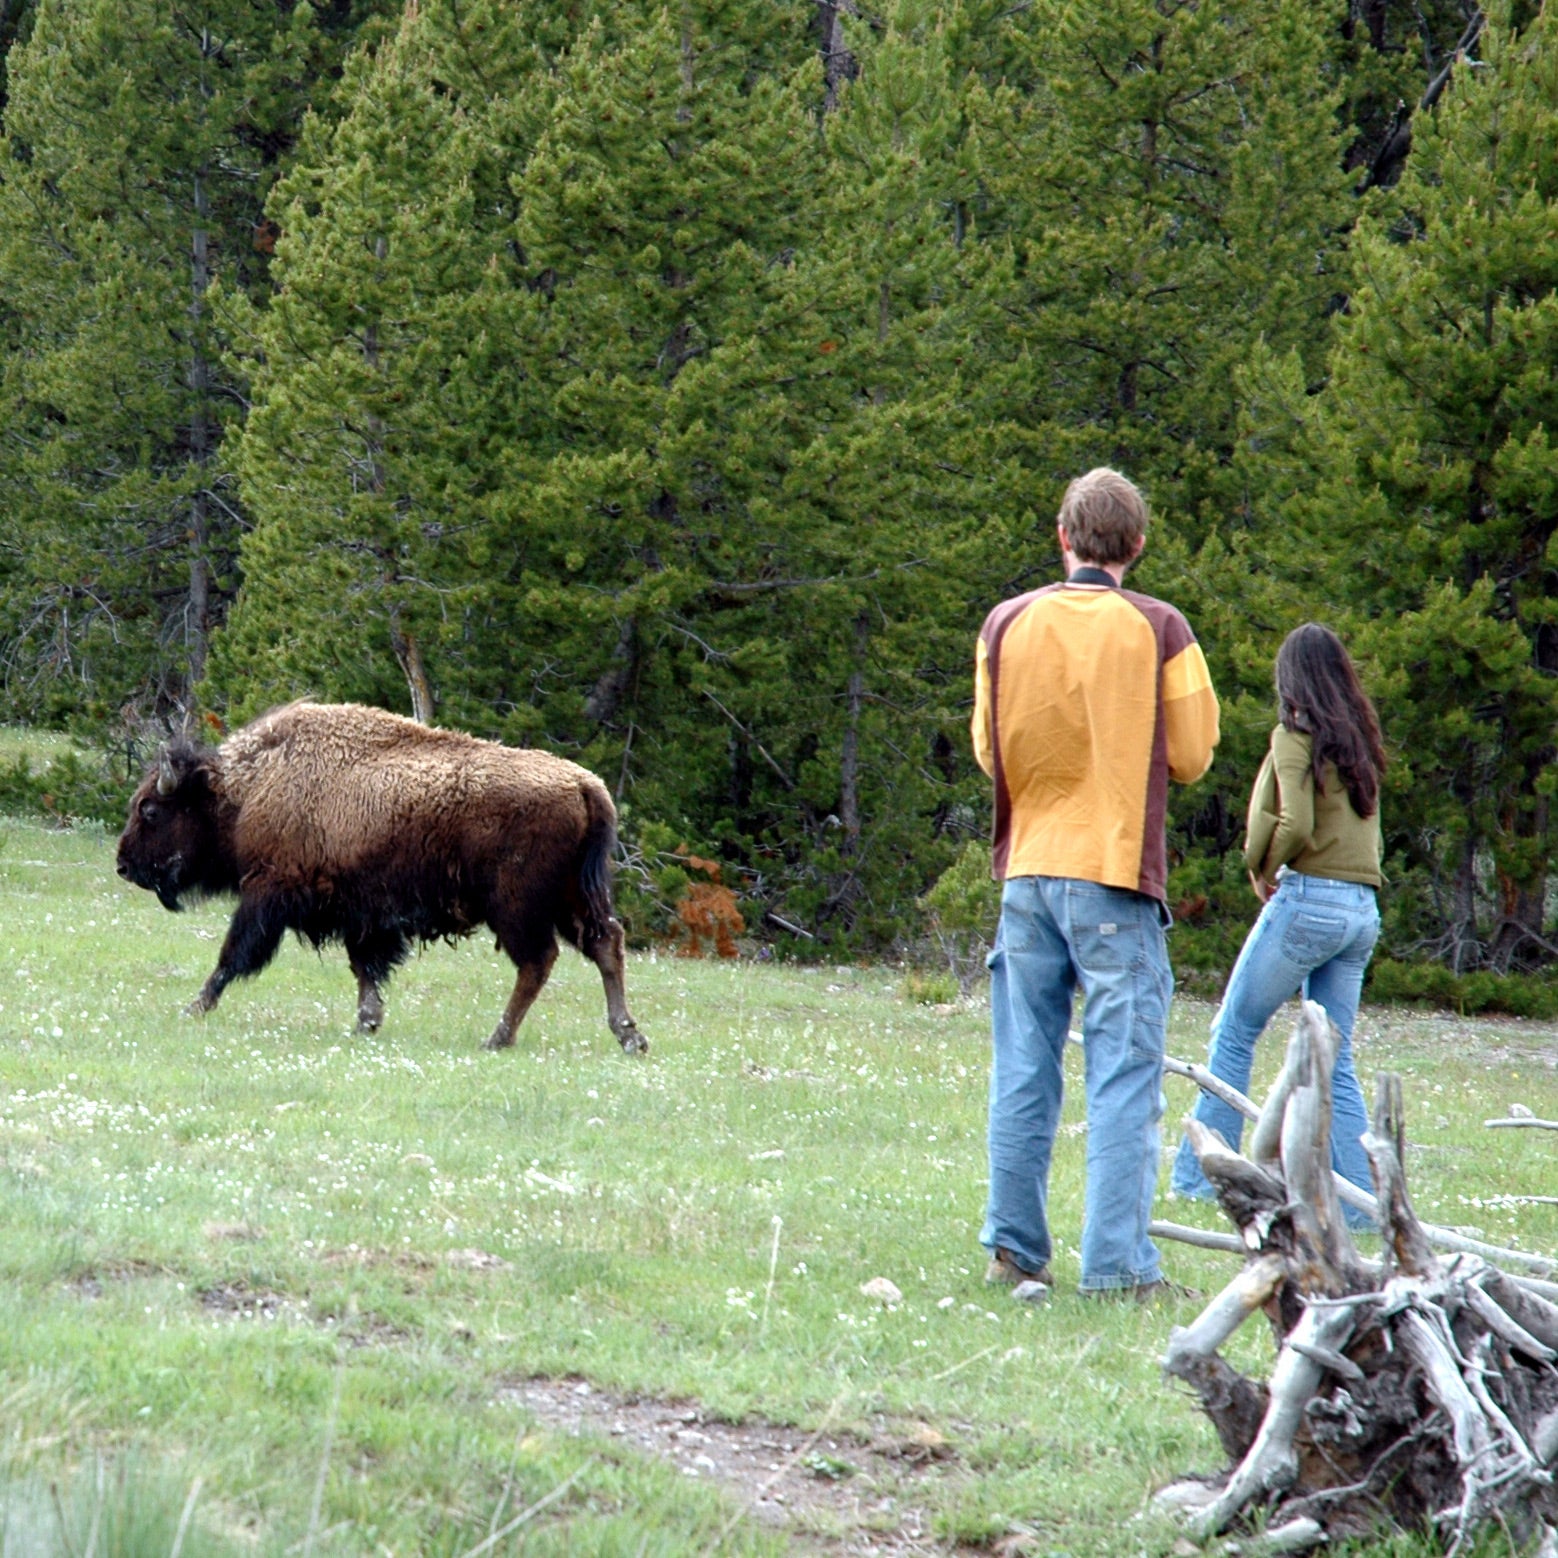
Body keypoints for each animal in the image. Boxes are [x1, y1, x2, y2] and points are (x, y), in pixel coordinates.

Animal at [116, 701, 645, 1053]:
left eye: (150, 810)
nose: (123, 865)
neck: (249, 788)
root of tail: (585, 785)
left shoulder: (269, 891)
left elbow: (234, 955)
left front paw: (195, 1006)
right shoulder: (362, 913)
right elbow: (365, 966)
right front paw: (367, 1022)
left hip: (518, 906)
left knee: (539, 961)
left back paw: (498, 1037)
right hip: (572, 898)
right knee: (605, 944)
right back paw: (629, 1036)